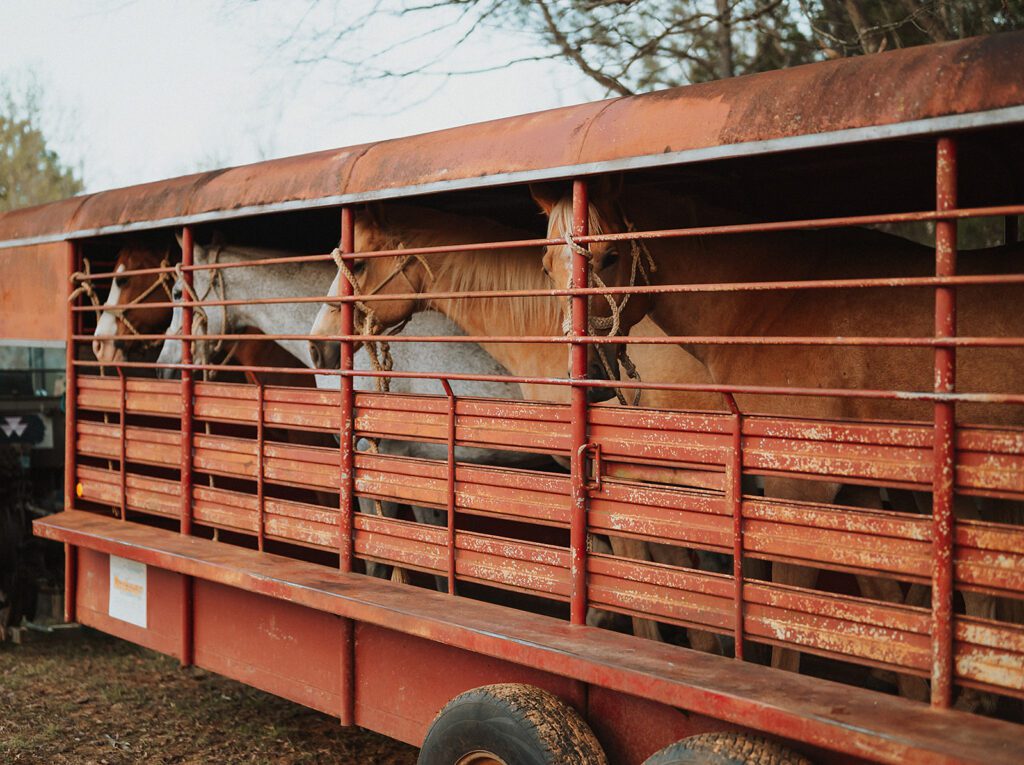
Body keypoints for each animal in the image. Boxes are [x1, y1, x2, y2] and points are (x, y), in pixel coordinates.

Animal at [532, 182, 1019, 708]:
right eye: (546, 266)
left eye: (611, 256)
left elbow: (790, 618)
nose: (587, 378)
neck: (770, 304)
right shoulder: (855, 486)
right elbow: (888, 606)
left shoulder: (799, 486)